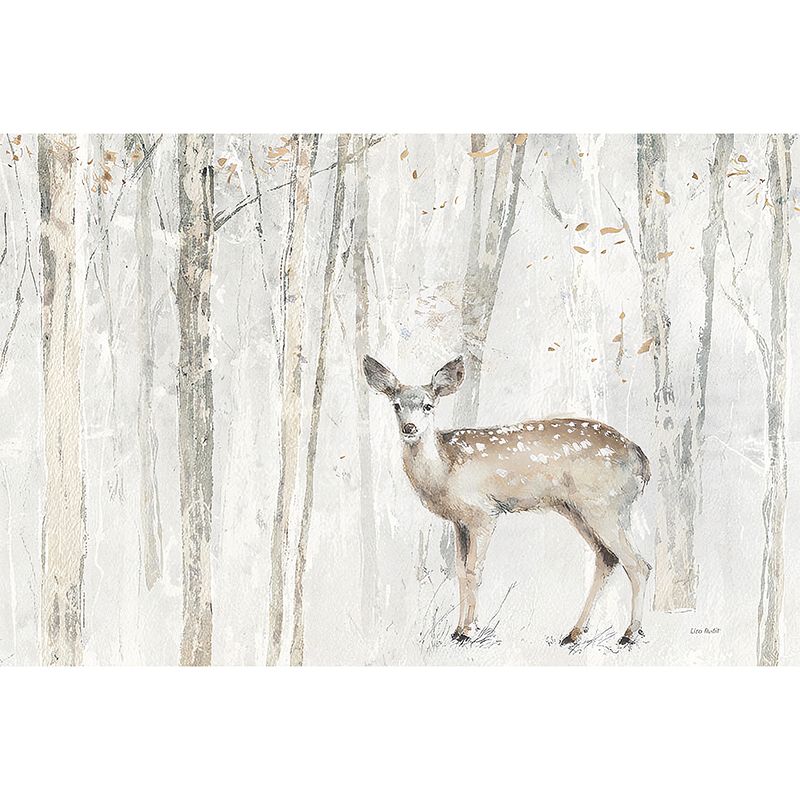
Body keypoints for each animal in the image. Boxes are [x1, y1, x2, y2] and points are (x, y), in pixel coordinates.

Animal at [363, 354, 652, 647]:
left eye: (428, 406)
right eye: (396, 405)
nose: (409, 428)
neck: (445, 469)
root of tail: (642, 460)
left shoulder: (484, 512)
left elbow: (474, 571)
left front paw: (468, 631)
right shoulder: (459, 521)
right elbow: (459, 571)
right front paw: (456, 630)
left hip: (606, 505)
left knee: (638, 564)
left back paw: (629, 634)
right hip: (576, 508)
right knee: (607, 558)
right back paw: (574, 633)